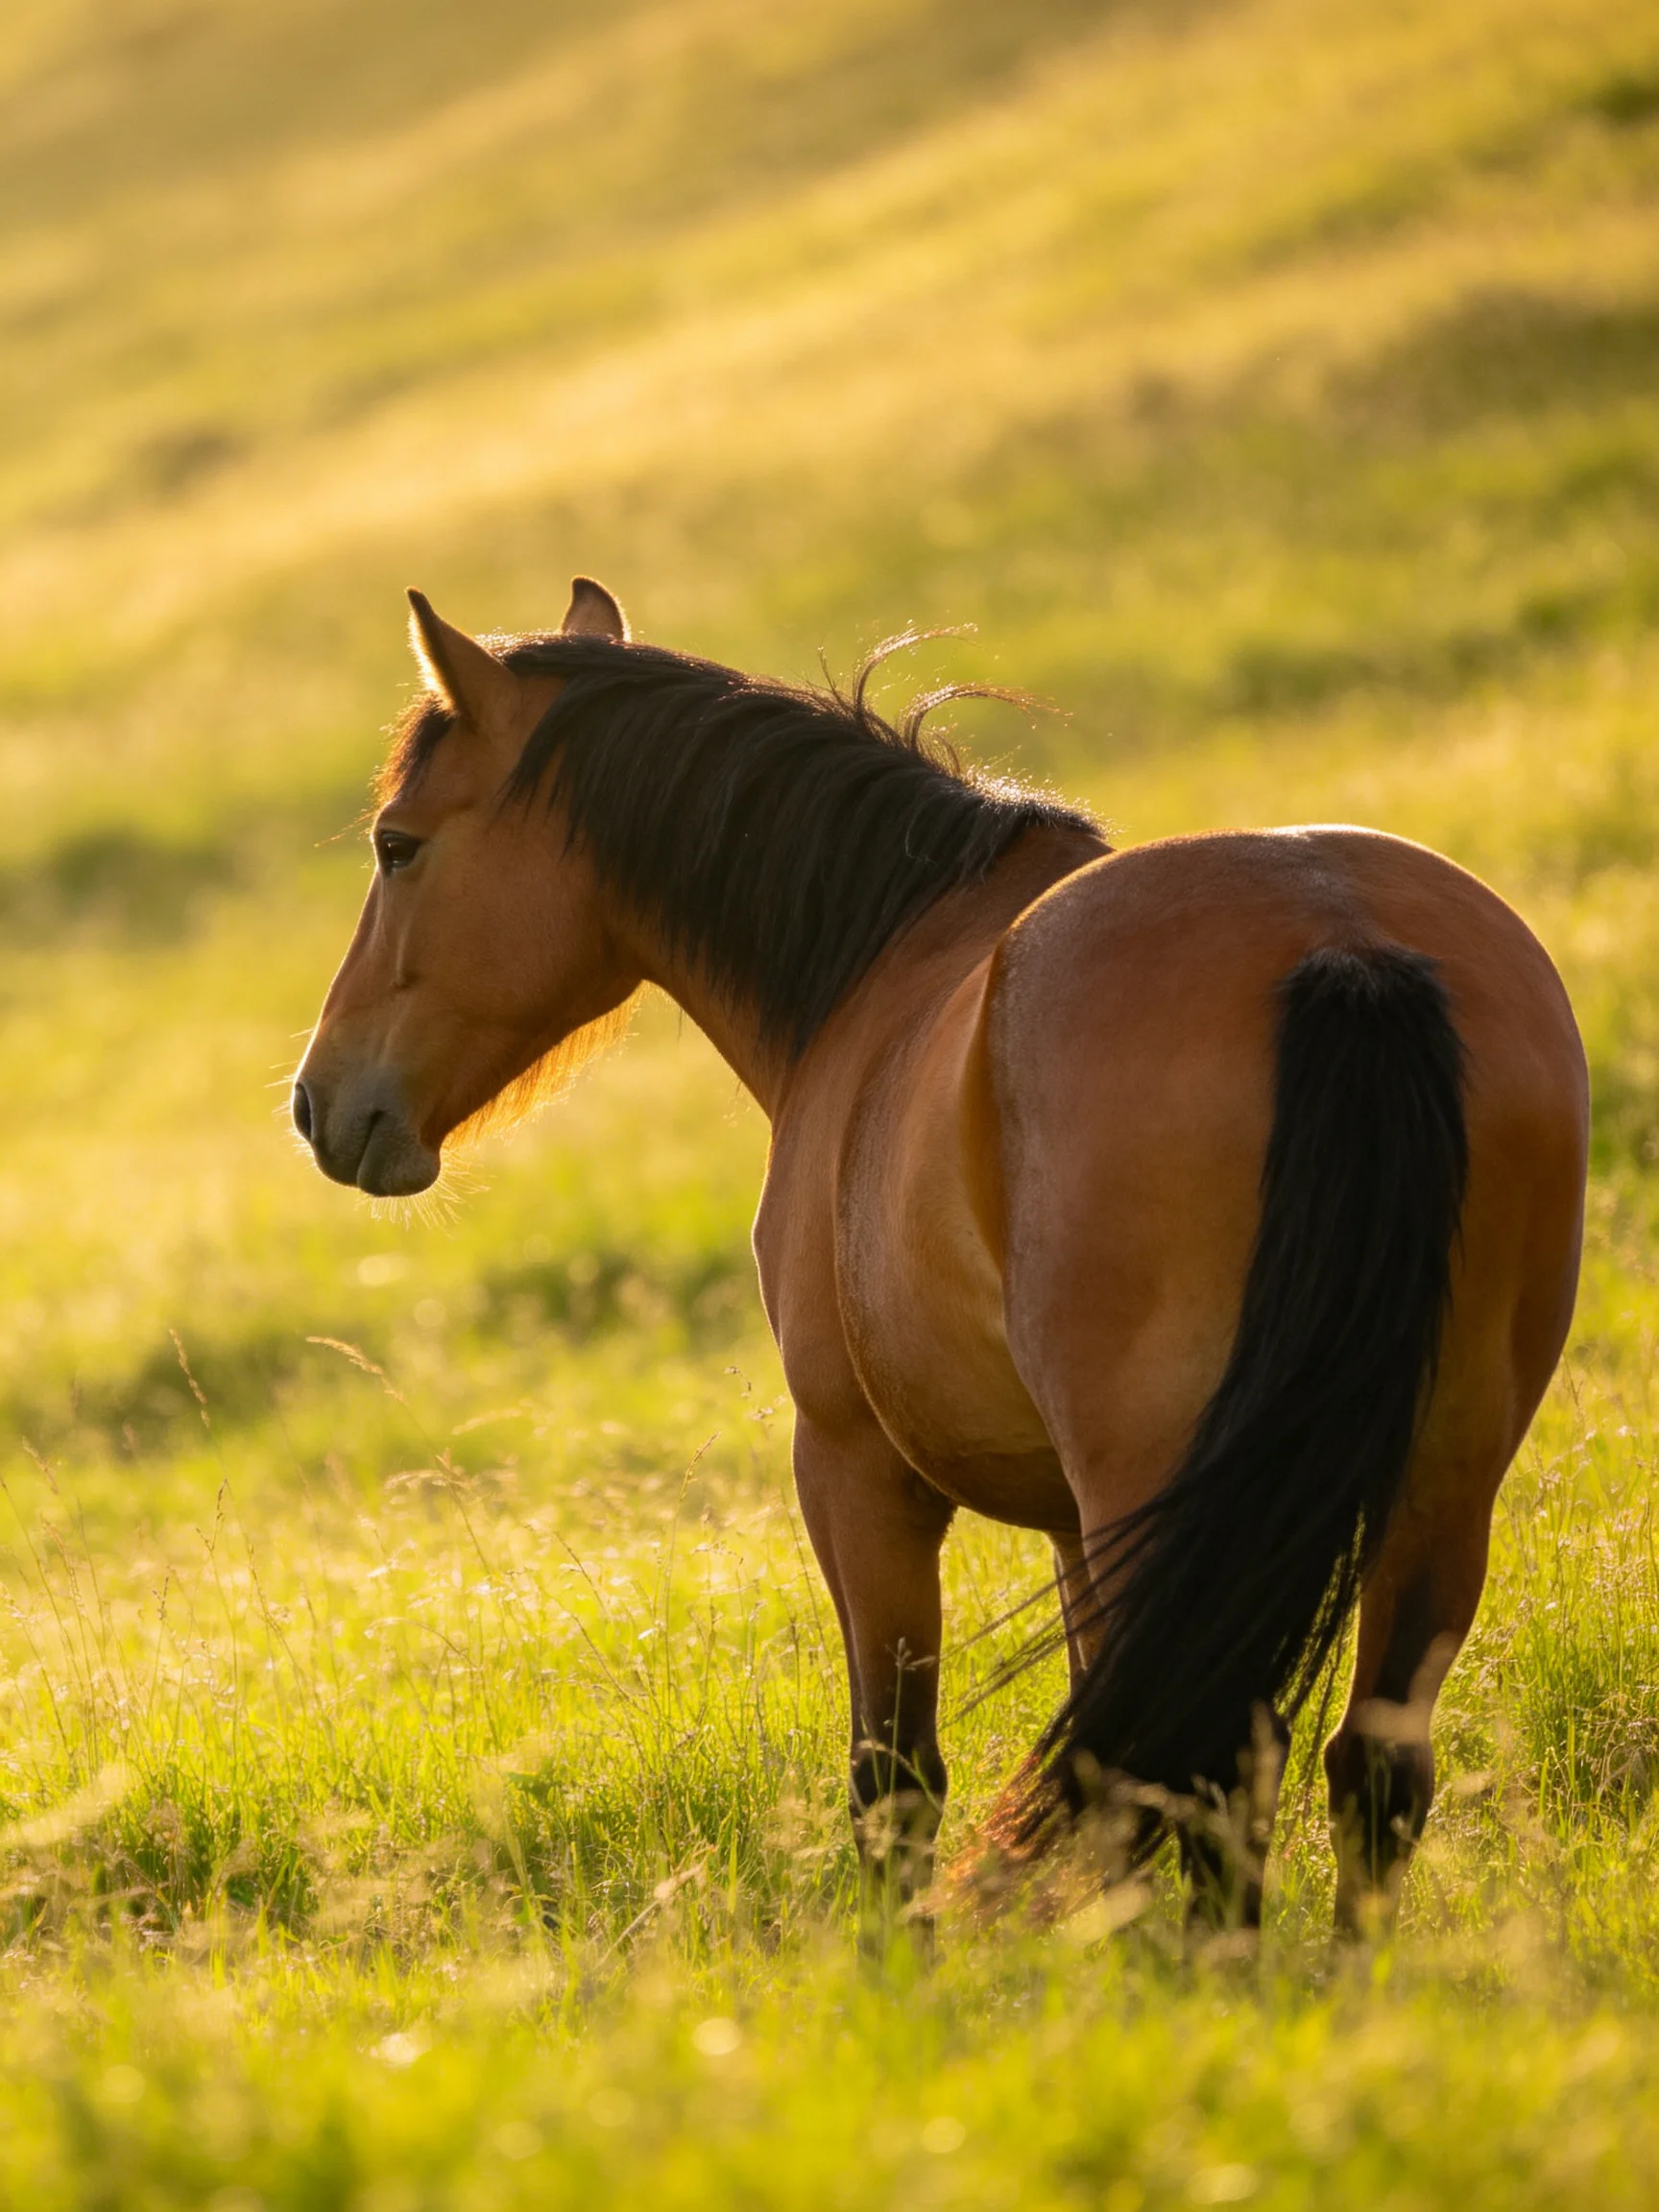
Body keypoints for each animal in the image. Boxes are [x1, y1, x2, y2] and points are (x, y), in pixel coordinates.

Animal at [293, 578, 1588, 1935]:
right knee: (1363, 1772)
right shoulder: (1076, 1530)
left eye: (397, 845)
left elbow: (896, 1778)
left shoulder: (857, 1474)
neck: (880, 970)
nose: (320, 1102)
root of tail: (1340, 945)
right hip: (1440, 1480)